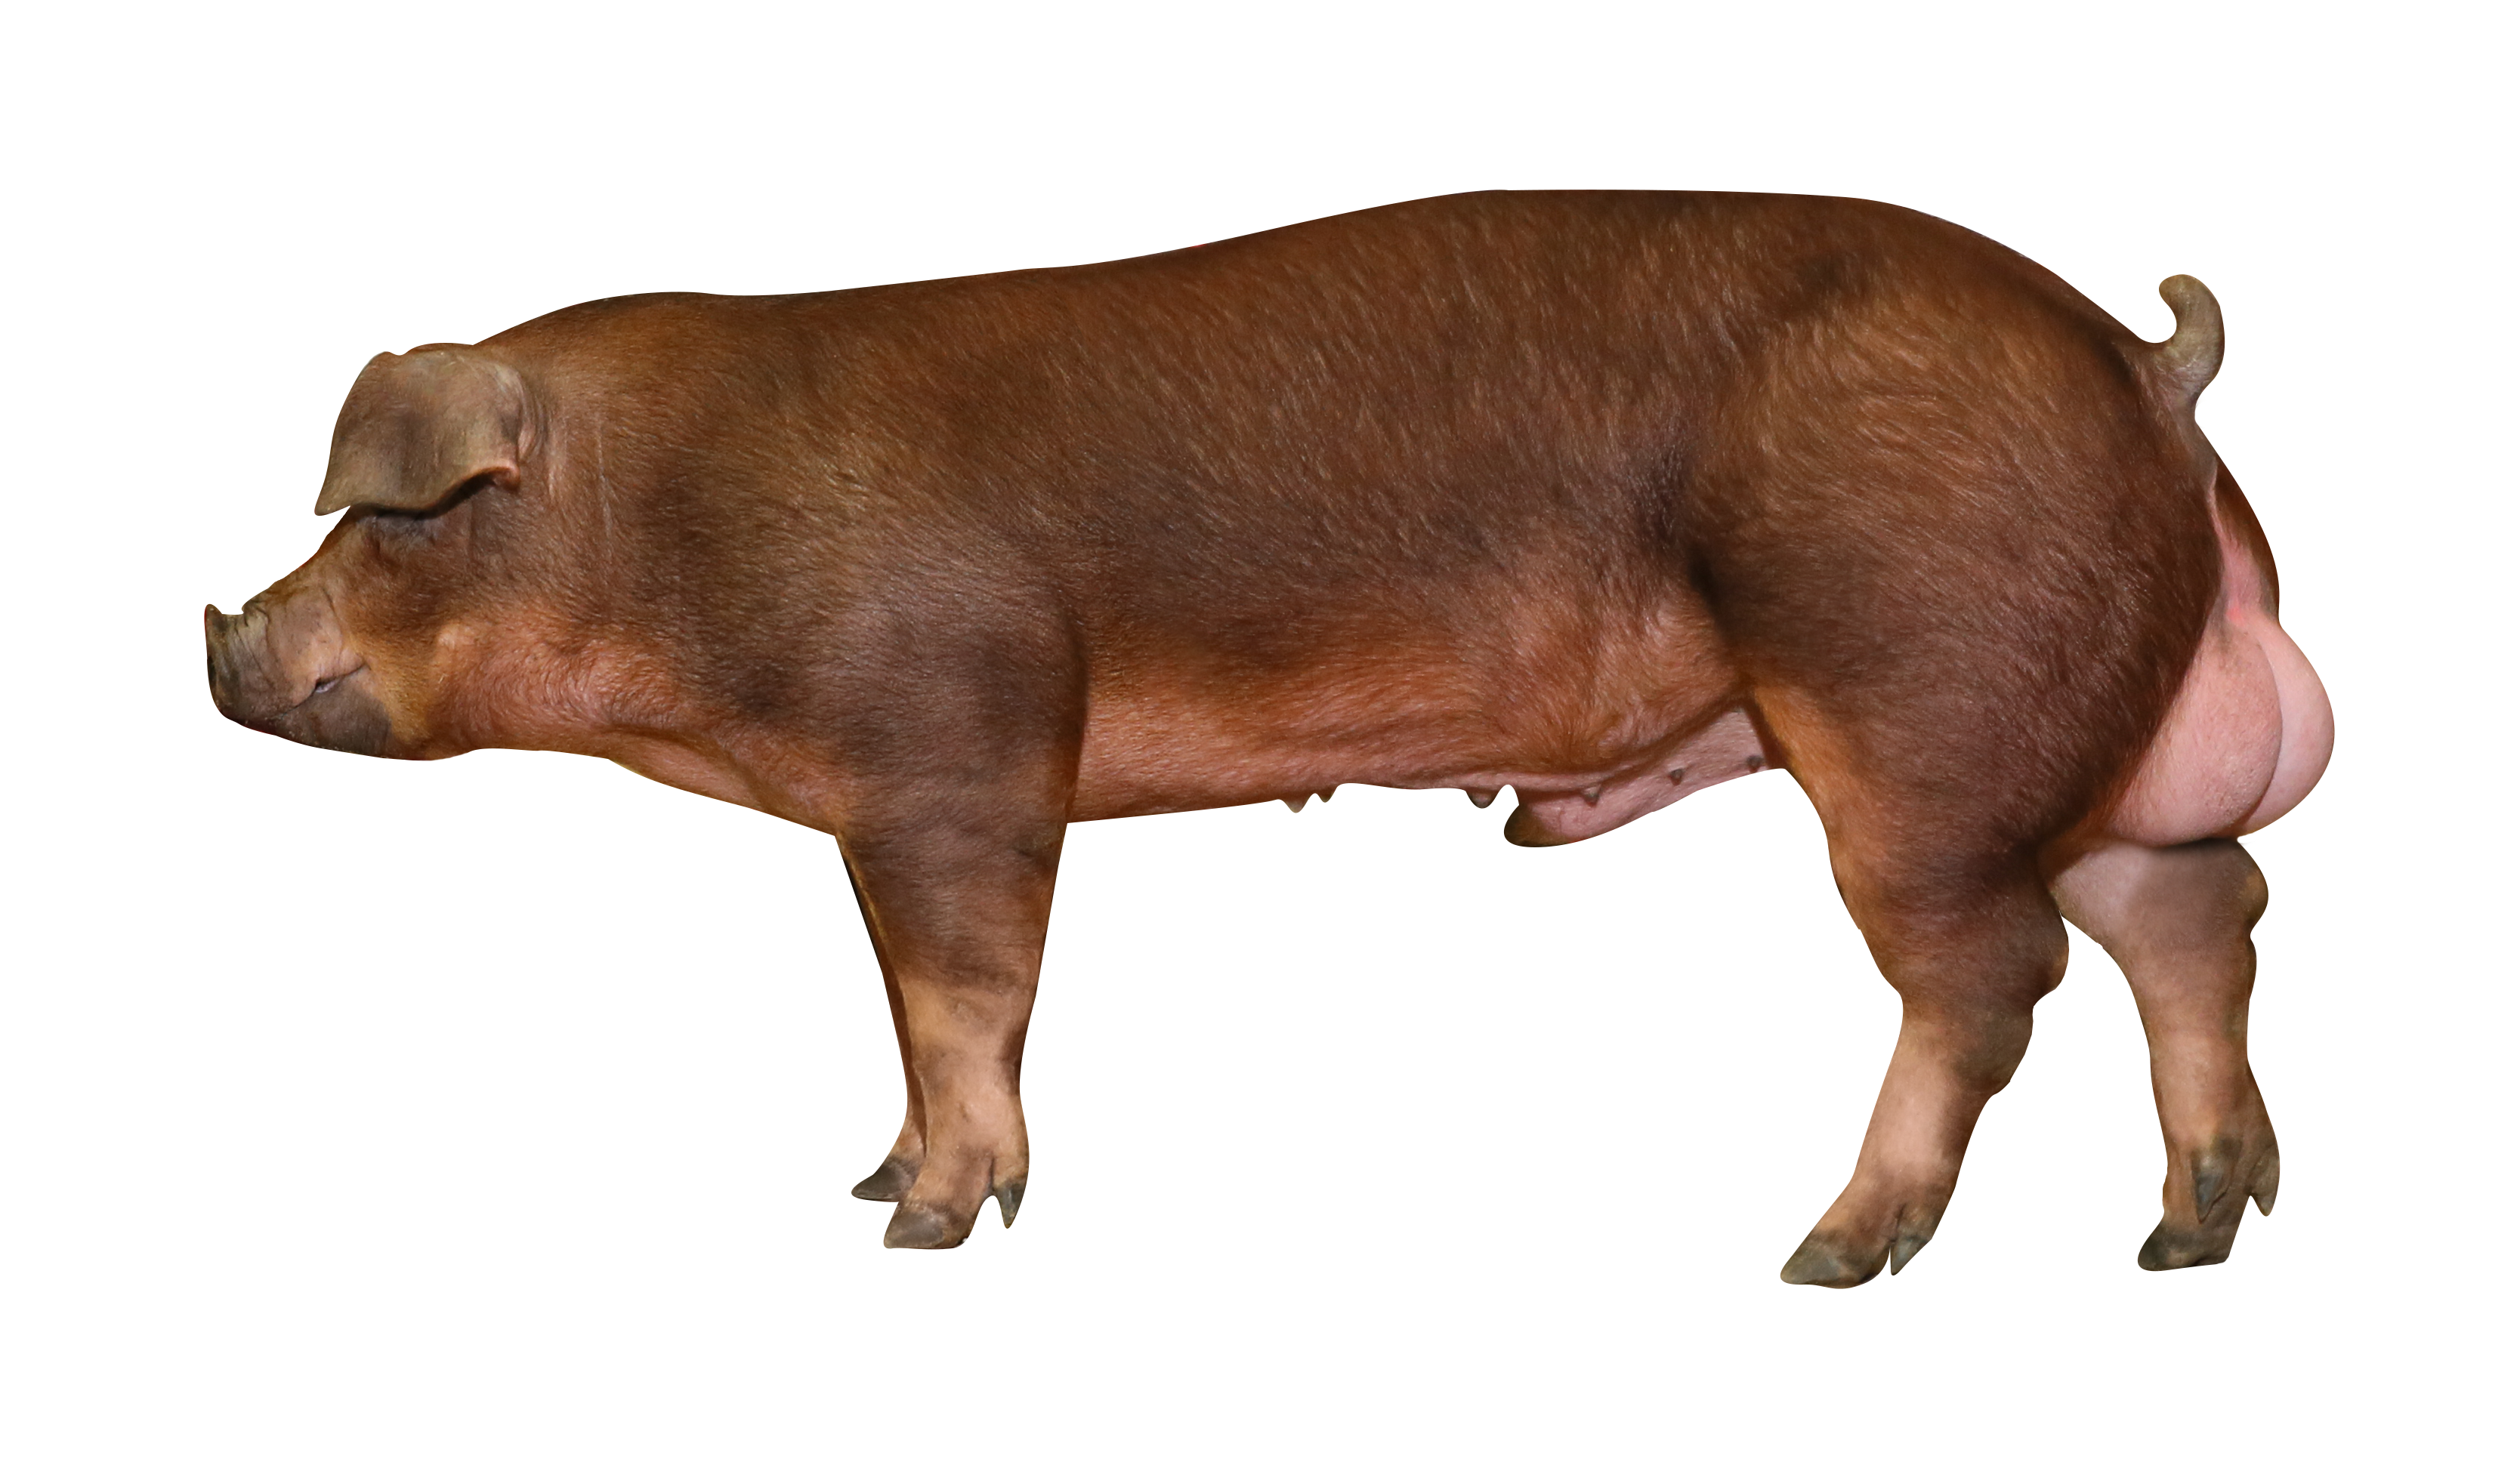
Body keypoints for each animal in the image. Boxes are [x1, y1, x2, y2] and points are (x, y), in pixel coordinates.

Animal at [207, 190, 2333, 1286]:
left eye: (383, 522)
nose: (230, 633)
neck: (673, 518)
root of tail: (2145, 363)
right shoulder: (878, 805)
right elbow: (905, 998)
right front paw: (877, 1191)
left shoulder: (961, 739)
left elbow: (969, 992)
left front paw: (936, 1225)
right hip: (2119, 751)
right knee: (2184, 928)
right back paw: (2181, 1236)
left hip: (1916, 698)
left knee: (1997, 968)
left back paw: (1829, 1248)